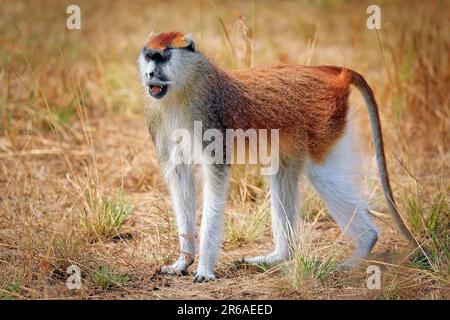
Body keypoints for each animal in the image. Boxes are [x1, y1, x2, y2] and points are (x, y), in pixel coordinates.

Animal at [137, 31, 418, 282]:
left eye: (163, 57)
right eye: (149, 56)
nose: (150, 73)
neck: (184, 87)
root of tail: (328, 72)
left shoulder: (209, 115)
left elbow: (215, 177)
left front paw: (204, 268)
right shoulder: (160, 123)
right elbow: (180, 176)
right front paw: (183, 261)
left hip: (326, 121)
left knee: (322, 174)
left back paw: (362, 248)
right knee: (283, 172)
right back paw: (280, 256)